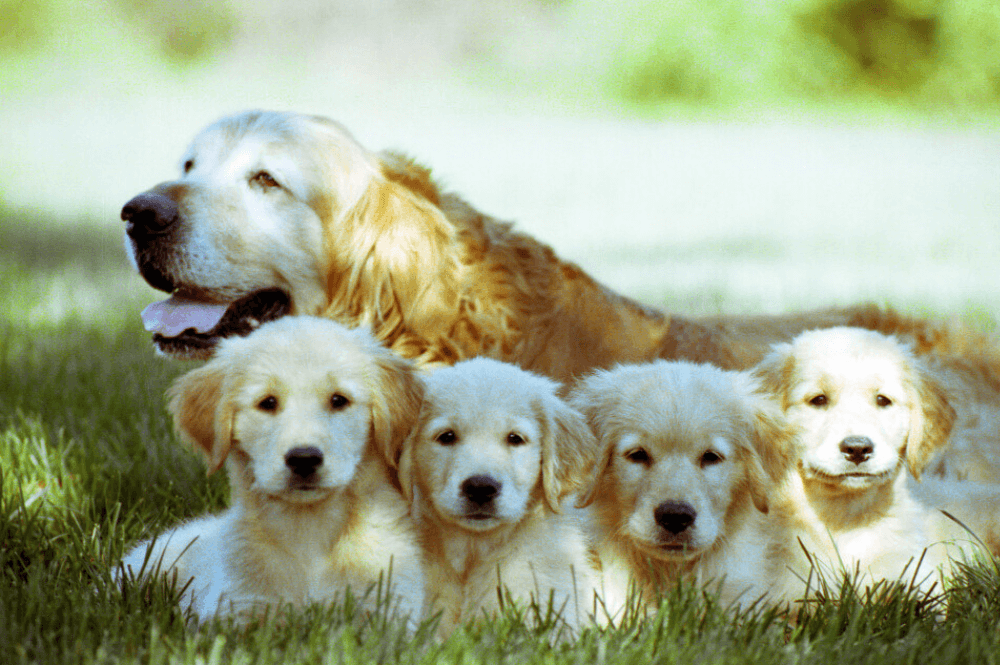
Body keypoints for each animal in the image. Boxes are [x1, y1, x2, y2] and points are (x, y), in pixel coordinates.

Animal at [116, 316, 426, 624]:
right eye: (267, 403)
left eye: (339, 400)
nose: (304, 459)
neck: (309, 530)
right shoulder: (237, 605)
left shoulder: (391, 607)